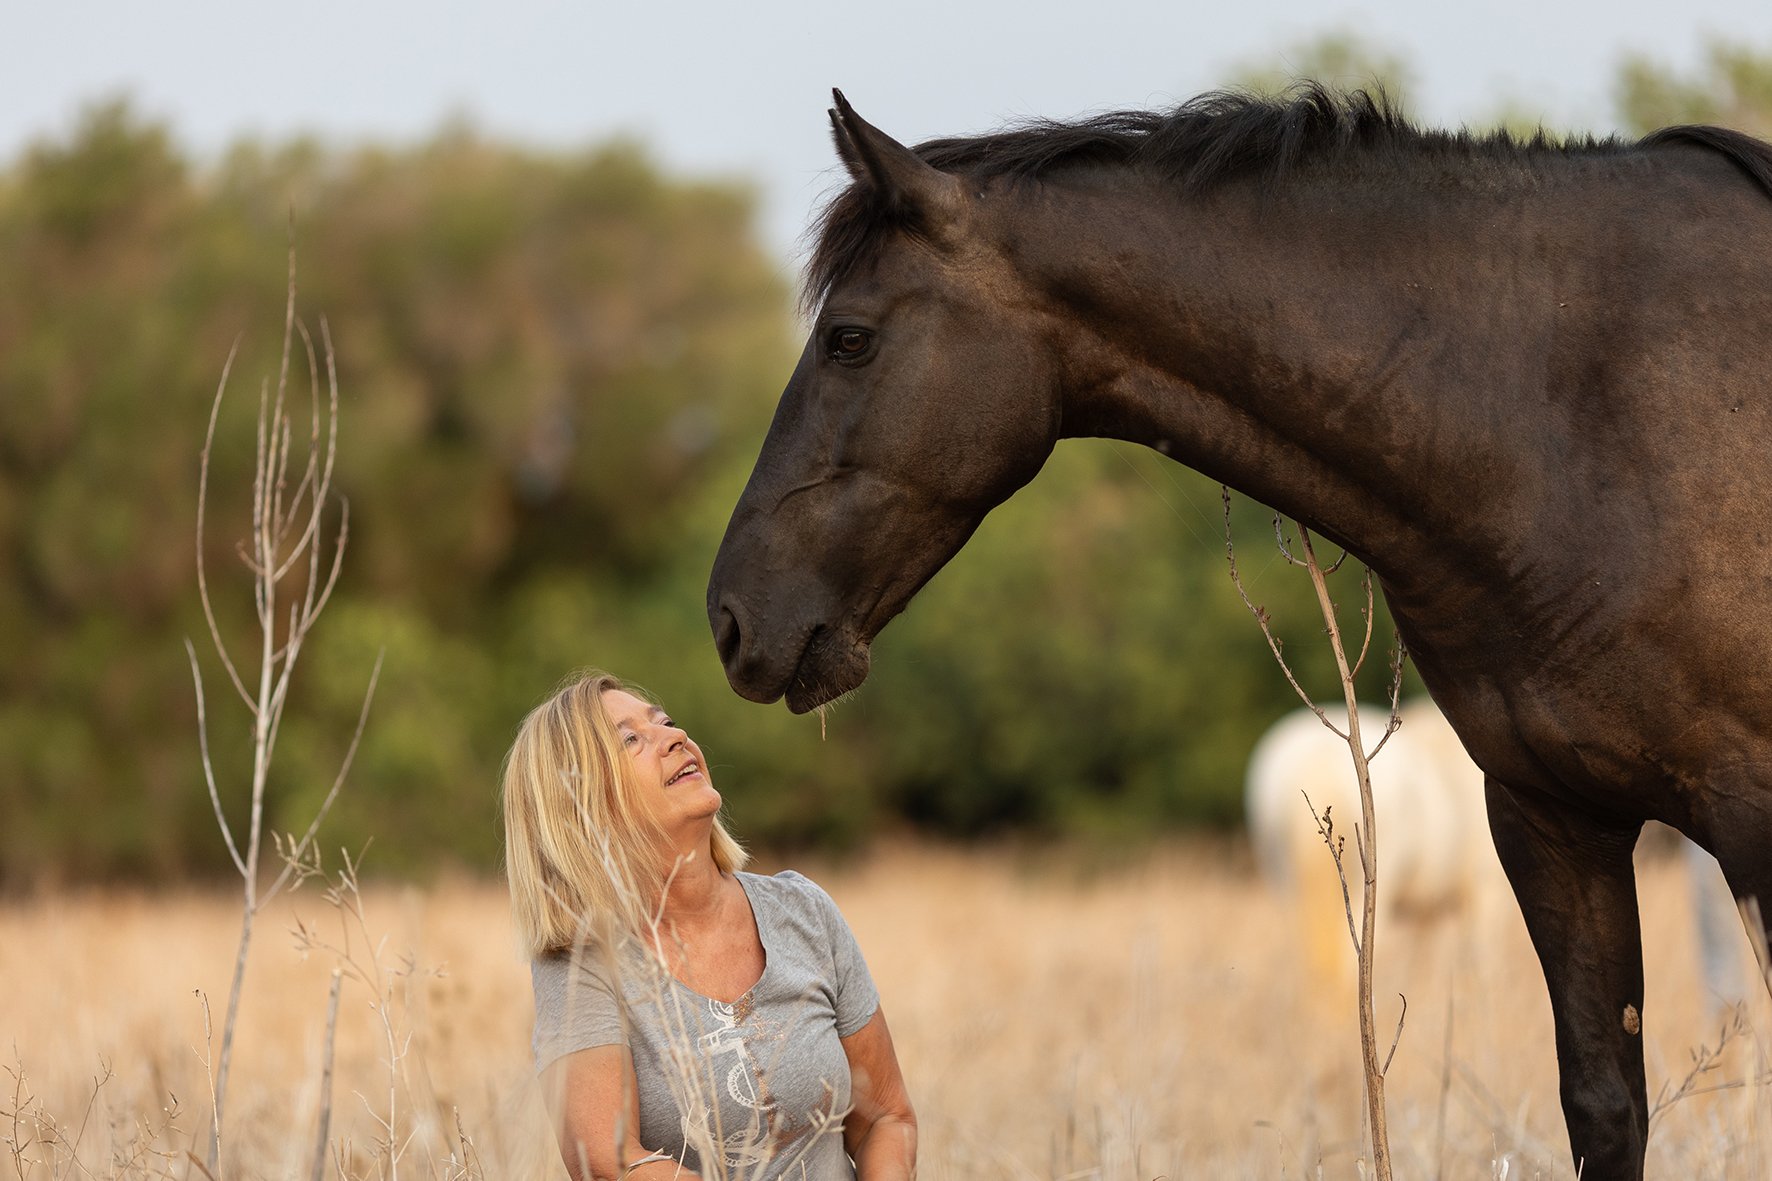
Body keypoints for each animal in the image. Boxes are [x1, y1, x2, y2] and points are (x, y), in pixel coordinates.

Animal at [705, 86, 1772, 1178]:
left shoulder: (1750, 819)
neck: (1582, 411)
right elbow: (1604, 1105)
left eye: (849, 338)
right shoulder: (1550, 822)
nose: (732, 614)